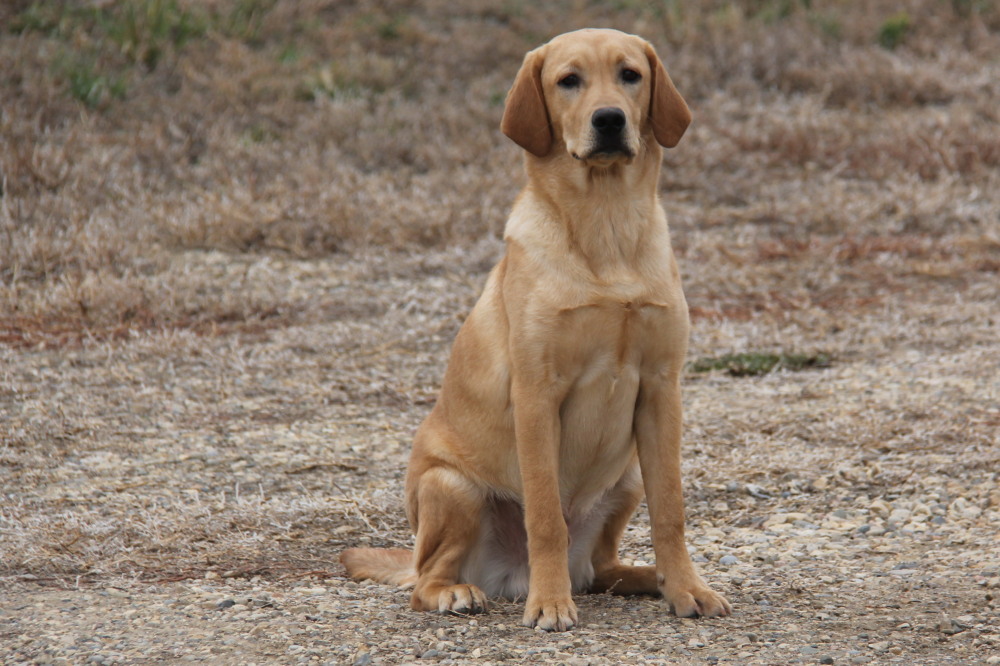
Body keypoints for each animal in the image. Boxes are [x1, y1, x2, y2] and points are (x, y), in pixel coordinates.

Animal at [340, 28, 732, 628]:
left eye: (630, 75)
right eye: (569, 80)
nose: (609, 119)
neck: (606, 224)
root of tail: (508, 577)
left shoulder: (662, 389)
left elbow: (672, 511)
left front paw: (687, 588)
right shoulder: (537, 394)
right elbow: (546, 515)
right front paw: (549, 604)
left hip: (626, 478)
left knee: (602, 568)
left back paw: (648, 578)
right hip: (452, 487)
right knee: (424, 580)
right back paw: (464, 592)